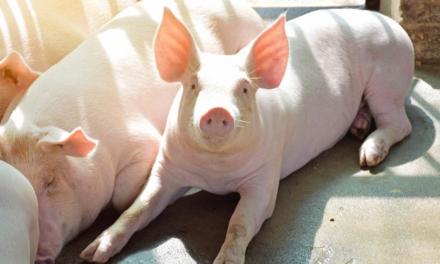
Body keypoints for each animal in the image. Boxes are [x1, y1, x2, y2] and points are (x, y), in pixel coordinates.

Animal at [83, 8, 416, 264]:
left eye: (244, 88)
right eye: (193, 85)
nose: (217, 110)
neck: (215, 173)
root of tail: (392, 25)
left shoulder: (264, 177)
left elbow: (239, 223)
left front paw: (226, 261)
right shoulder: (167, 168)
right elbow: (137, 208)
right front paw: (92, 253)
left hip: (388, 80)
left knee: (401, 124)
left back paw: (367, 156)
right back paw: (359, 128)